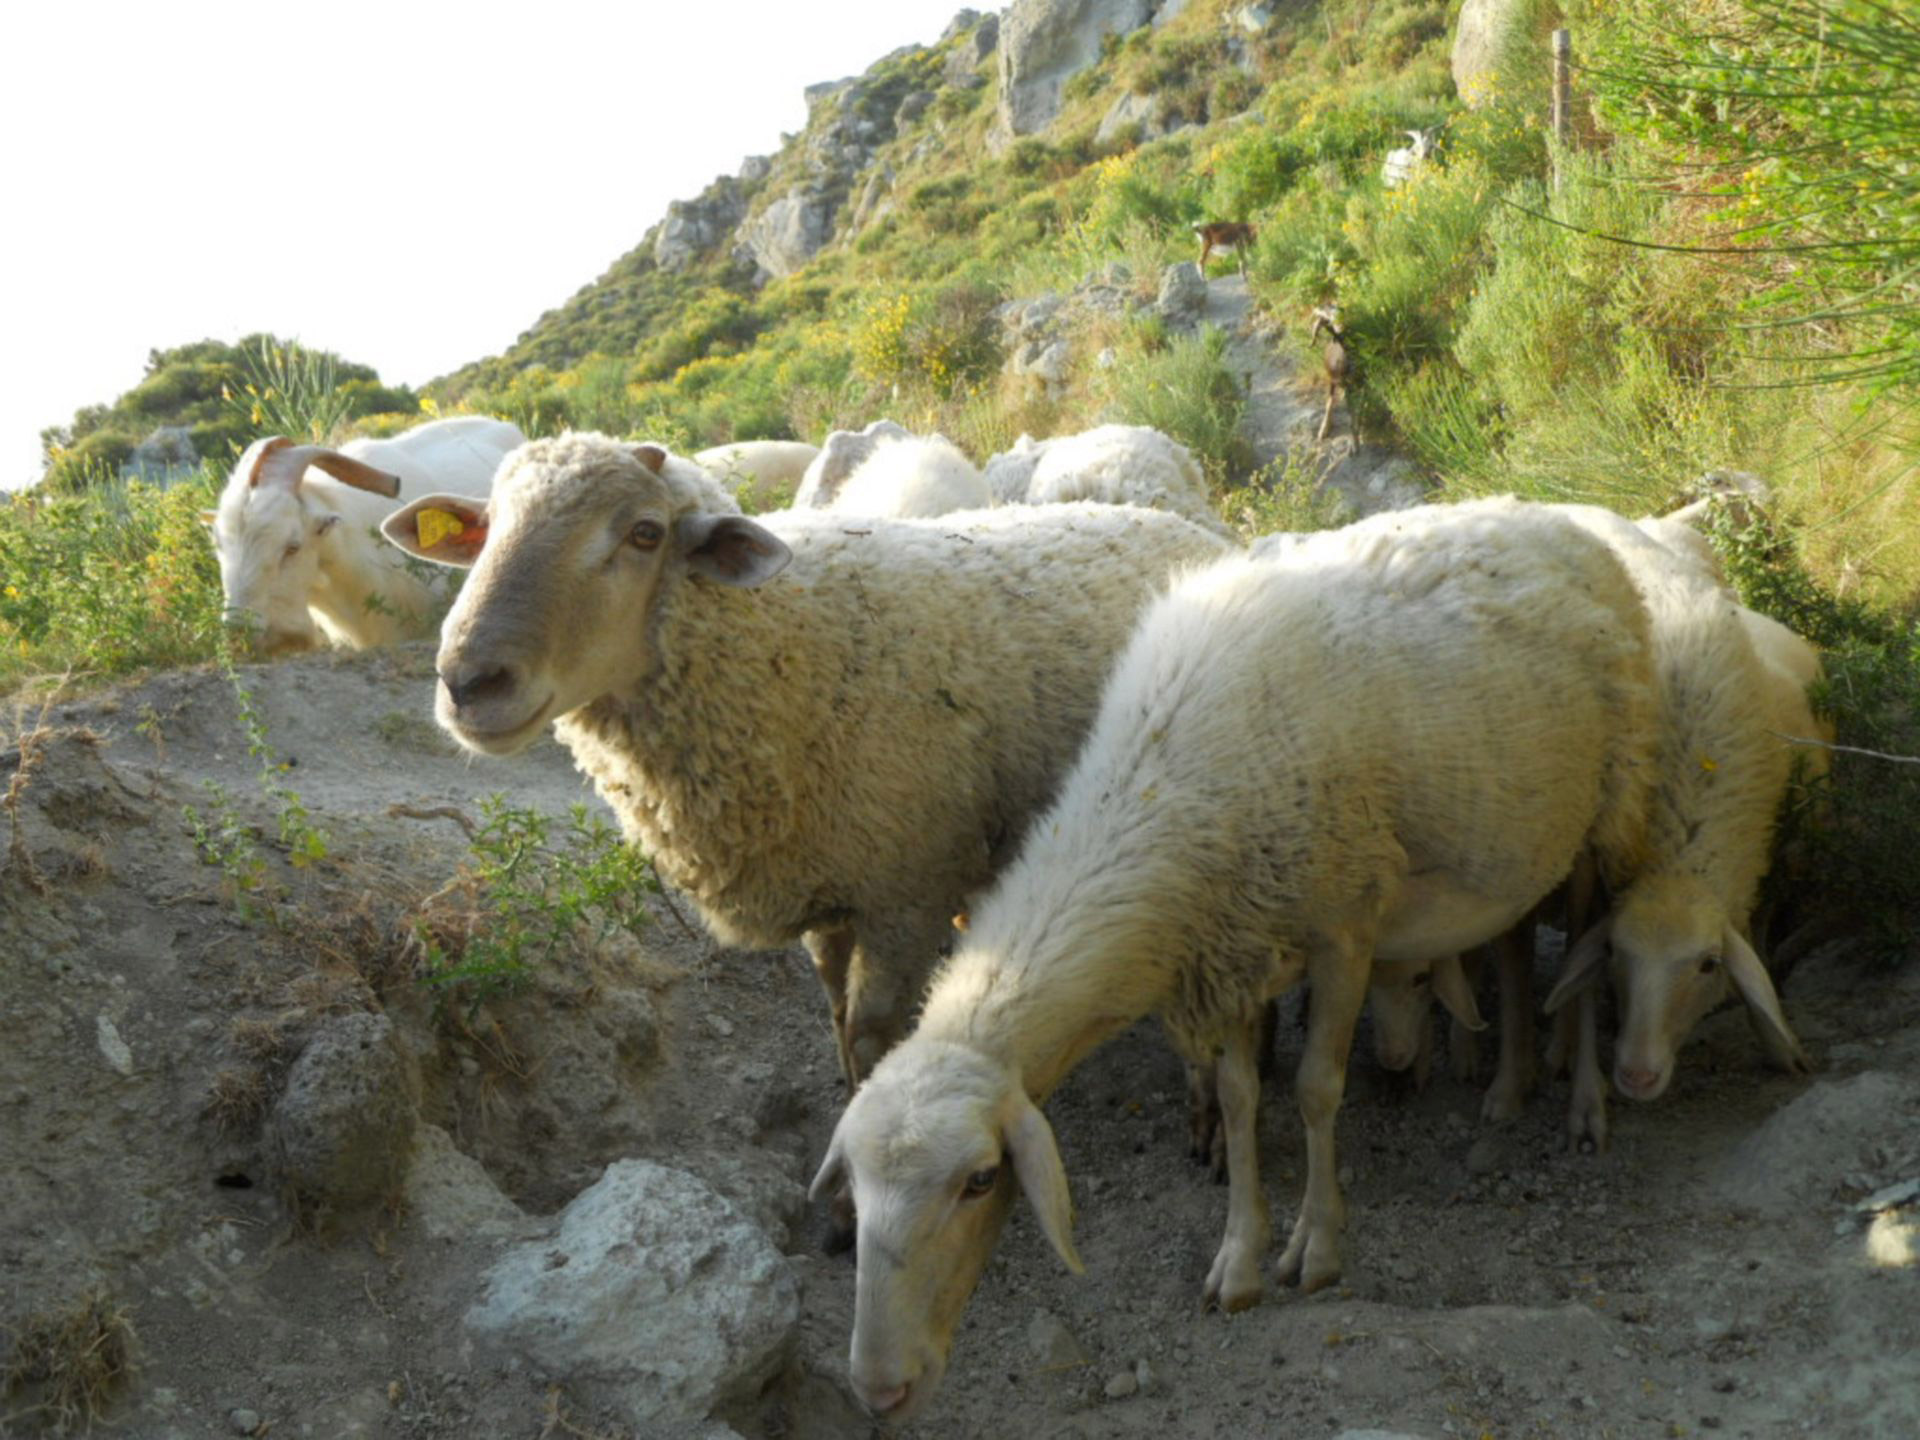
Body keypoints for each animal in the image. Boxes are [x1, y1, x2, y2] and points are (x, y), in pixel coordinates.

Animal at [810, 503, 1651, 1428]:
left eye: (980, 1180)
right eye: (853, 1185)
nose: (879, 1388)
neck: (1164, 789)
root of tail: (1544, 512)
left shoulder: (1346, 923)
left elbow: (1316, 1089)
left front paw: (1316, 1247)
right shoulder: (1236, 944)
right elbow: (1245, 1098)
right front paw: (1240, 1260)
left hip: (1609, 810)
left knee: (1583, 954)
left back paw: (1582, 1102)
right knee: (1511, 940)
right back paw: (1509, 1079)